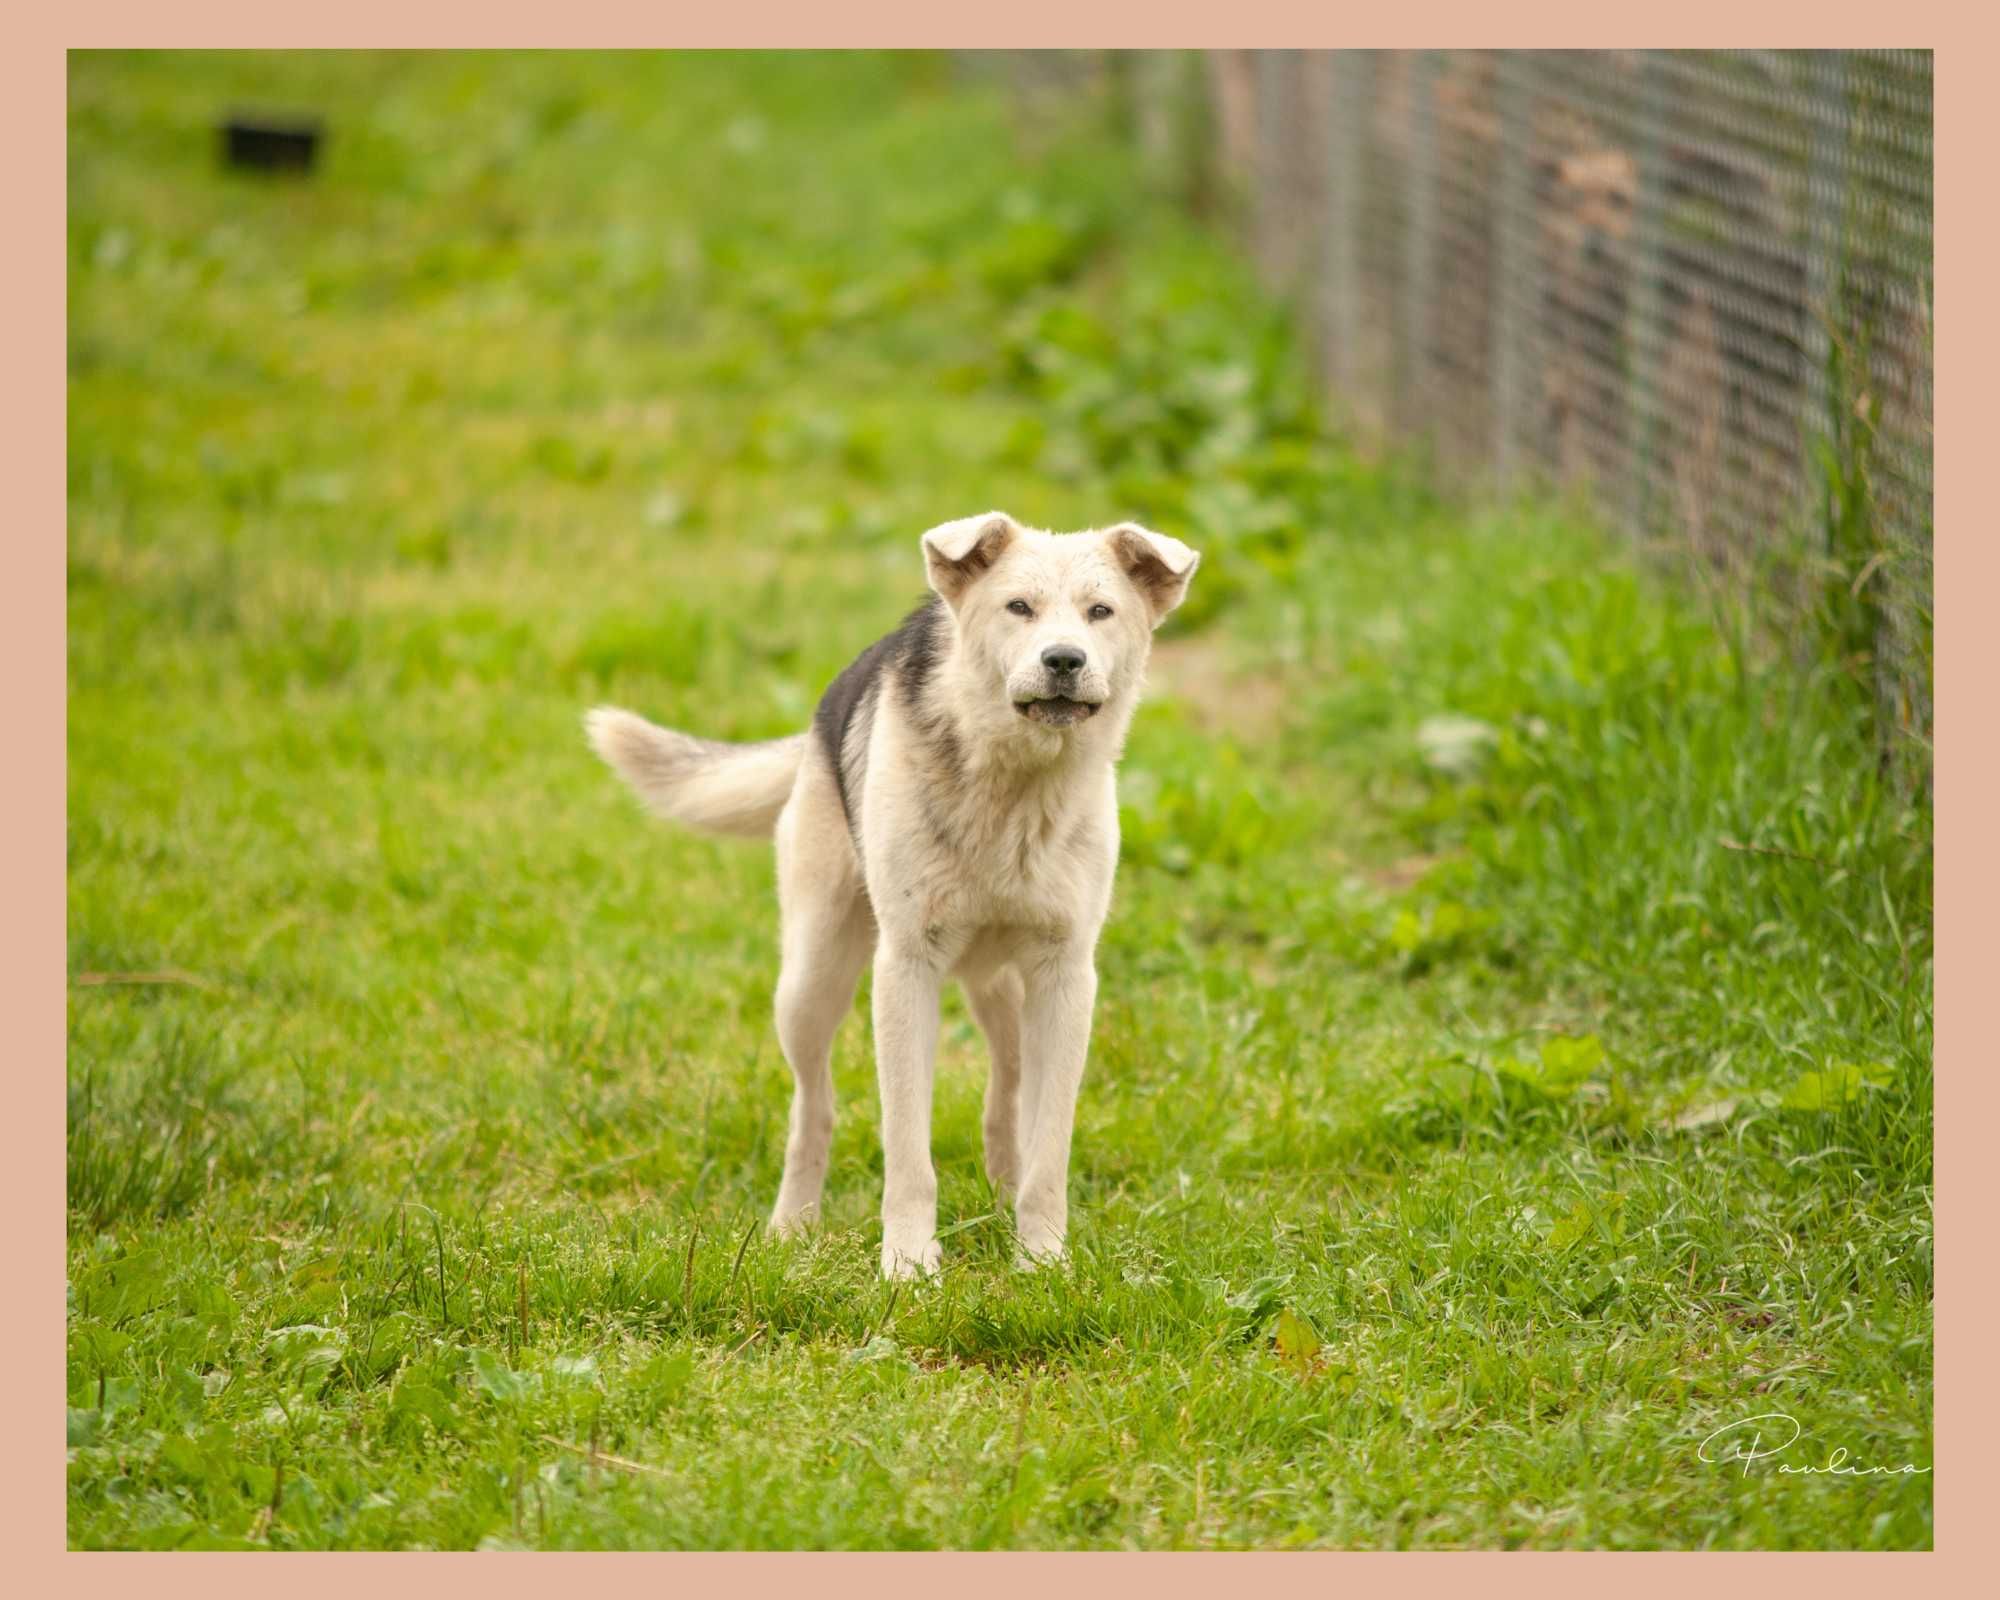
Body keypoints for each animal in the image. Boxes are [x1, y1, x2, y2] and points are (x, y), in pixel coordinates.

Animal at [584, 516, 1192, 1288]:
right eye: (1019, 607)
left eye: (1100, 611)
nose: (1063, 660)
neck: (1012, 788)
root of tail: (819, 718)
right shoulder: (906, 970)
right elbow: (907, 1146)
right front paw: (908, 1264)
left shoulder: (1065, 977)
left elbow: (1049, 1145)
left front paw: (1042, 1259)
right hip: (811, 983)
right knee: (813, 1109)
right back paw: (792, 1228)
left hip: (1004, 991)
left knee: (1007, 1095)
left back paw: (1000, 1197)